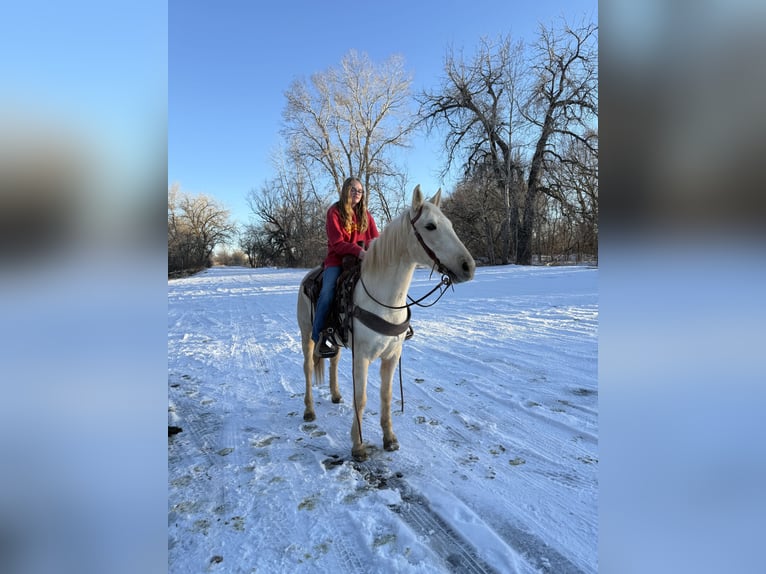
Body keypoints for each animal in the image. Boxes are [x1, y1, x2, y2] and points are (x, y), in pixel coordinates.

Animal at [296, 187, 476, 462]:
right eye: (430, 226)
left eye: (450, 225)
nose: (468, 266)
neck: (384, 300)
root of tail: (308, 277)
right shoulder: (361, 357)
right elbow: (361, 398)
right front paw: (358, 446)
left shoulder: (392, 356)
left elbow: (386, 396)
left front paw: (389, 438)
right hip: (307, 334)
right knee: (307, 369)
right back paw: (309, 411)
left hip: (335, 340)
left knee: (333, 361)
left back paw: (336, 395)